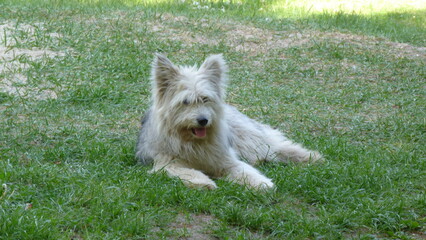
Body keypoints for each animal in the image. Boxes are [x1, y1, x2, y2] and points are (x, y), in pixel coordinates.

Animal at [135, 54, 322, 189]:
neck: (194, 142)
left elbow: (244, 170)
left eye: (205, 99)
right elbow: (187, 172)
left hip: (248, 139)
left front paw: (261, 183)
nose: (203, 120)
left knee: (275, 148)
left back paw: (309, 156)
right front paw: (204, 182)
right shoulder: (166, 163)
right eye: (186, 101)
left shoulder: (225, 160)